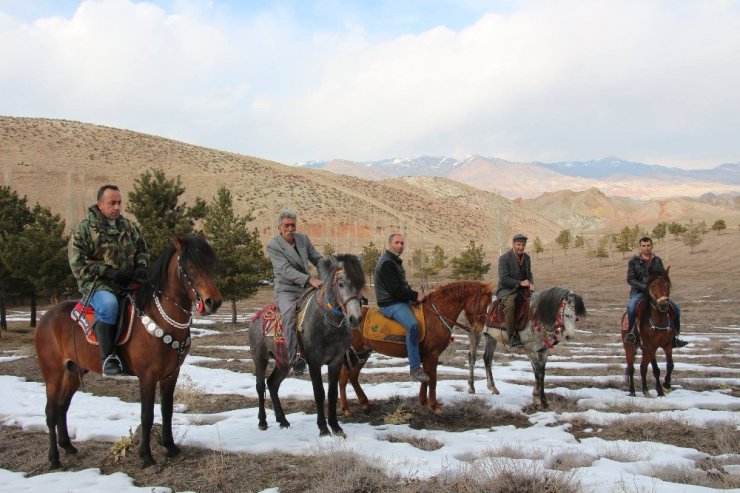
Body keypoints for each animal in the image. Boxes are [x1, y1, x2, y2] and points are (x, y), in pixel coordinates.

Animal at [33, 235, 221, 468]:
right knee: (50, 412)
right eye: (190, 267)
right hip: (53, 374)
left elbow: (167, 411)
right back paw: (54, 459)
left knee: (62, 407)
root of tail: (45, 318)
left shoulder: (170, 374)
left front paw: (171, 448)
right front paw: (146, 456)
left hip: (73, 372)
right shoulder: (147, 376)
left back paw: (68, 446)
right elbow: (147, 415)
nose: (213, 302)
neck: (161, 317)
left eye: (211, 264)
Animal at [249, 254, 364, 434]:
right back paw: (262, 421)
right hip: (260, 358)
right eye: (341, 284)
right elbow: (319, 393)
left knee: (272, 384)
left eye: (360, 284)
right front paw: (323, 429)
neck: (326, 322)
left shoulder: (336, 361)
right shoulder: (314, 361)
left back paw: (283, 420)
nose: (355, 318)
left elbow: (332, 393)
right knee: (260, 386)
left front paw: (336, 427)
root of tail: (256, 317)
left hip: (284, 362)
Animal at [338, 278, 494, 414]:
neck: (436, 315)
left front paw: (423, 401)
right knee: (343, 379)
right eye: (484, 304)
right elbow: (432, 379)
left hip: (363, 354)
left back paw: (364, 403)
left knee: (353, 376)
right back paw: (346, 409)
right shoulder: (432, 354)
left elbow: (426, 378)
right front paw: (434, 405)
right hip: (353, 353)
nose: (479, 329)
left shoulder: (426, 355)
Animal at [620, 266, 676, 396]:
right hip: (629, 346)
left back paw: (645, 391)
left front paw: (666, 385)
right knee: (631, 368)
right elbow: (656, 369)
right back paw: (632, 391)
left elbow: (670, 365)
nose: (663, 305)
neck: (659, 319)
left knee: (643, 367)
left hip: (645, 350)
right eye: (653, 285)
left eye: (667, 285)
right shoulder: (651, 346)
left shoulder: (667, 344)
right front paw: (660, 391)